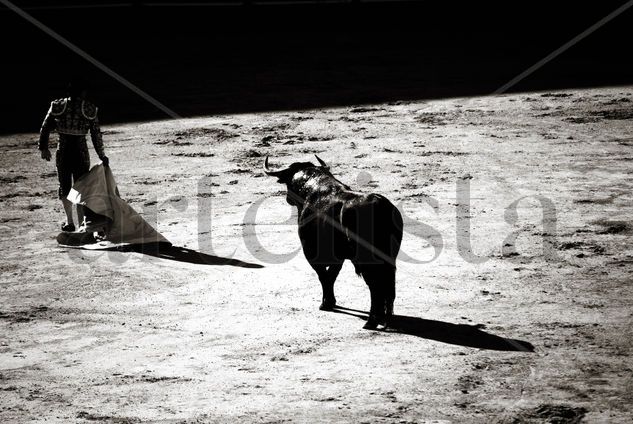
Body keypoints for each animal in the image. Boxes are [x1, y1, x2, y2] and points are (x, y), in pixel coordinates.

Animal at [262, 154, 402, 330]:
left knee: (375, 286)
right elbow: (332, 275)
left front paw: (326, 304)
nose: (288, 198)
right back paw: (386, 318)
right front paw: (330, 302)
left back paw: (371, 321)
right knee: (389, 284)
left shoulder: (310, 250)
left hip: (367, 260)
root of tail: (379, 205)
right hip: (389, 258)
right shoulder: (339, 256)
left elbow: (323, 275)